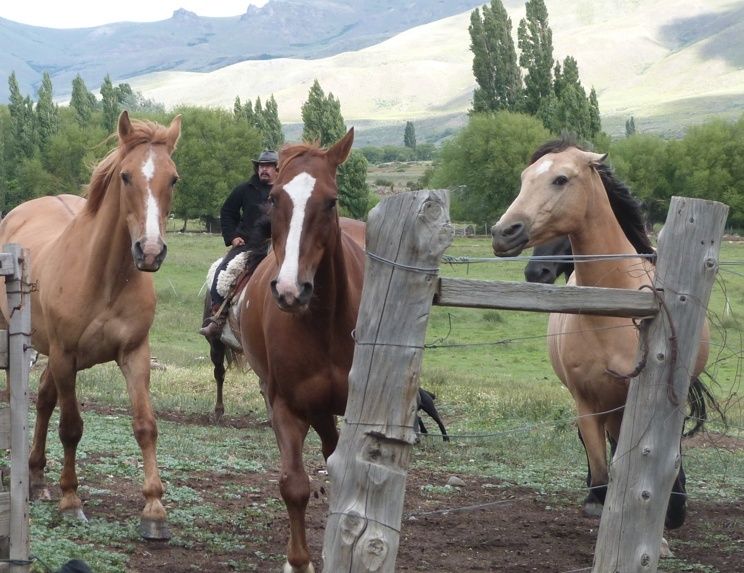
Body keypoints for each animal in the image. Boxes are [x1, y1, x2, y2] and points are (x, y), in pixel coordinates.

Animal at [0, 109, 182, 540]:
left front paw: (154, 510)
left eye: (173, 178)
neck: (106, 276)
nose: (150, 251)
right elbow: (71, 427)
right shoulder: (66, 355)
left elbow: (145, 425)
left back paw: (36, 478)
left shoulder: (134, 353)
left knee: (44, 399)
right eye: (126, 176)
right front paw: (71, 501)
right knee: (27, 400)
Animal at [240, 130, 364, 572]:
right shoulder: (289, 405)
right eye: (275, 198)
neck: (324, 322)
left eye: (331, 200)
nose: (291, 290)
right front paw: (299, 561)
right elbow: (293, 484)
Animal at [492, 139, 712, 532]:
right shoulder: (588, 404)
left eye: (560, 179)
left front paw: (671, 513)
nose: (504, 232)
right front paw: (598, 504)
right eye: (524, 178)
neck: (615, 312)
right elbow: (602, 478)